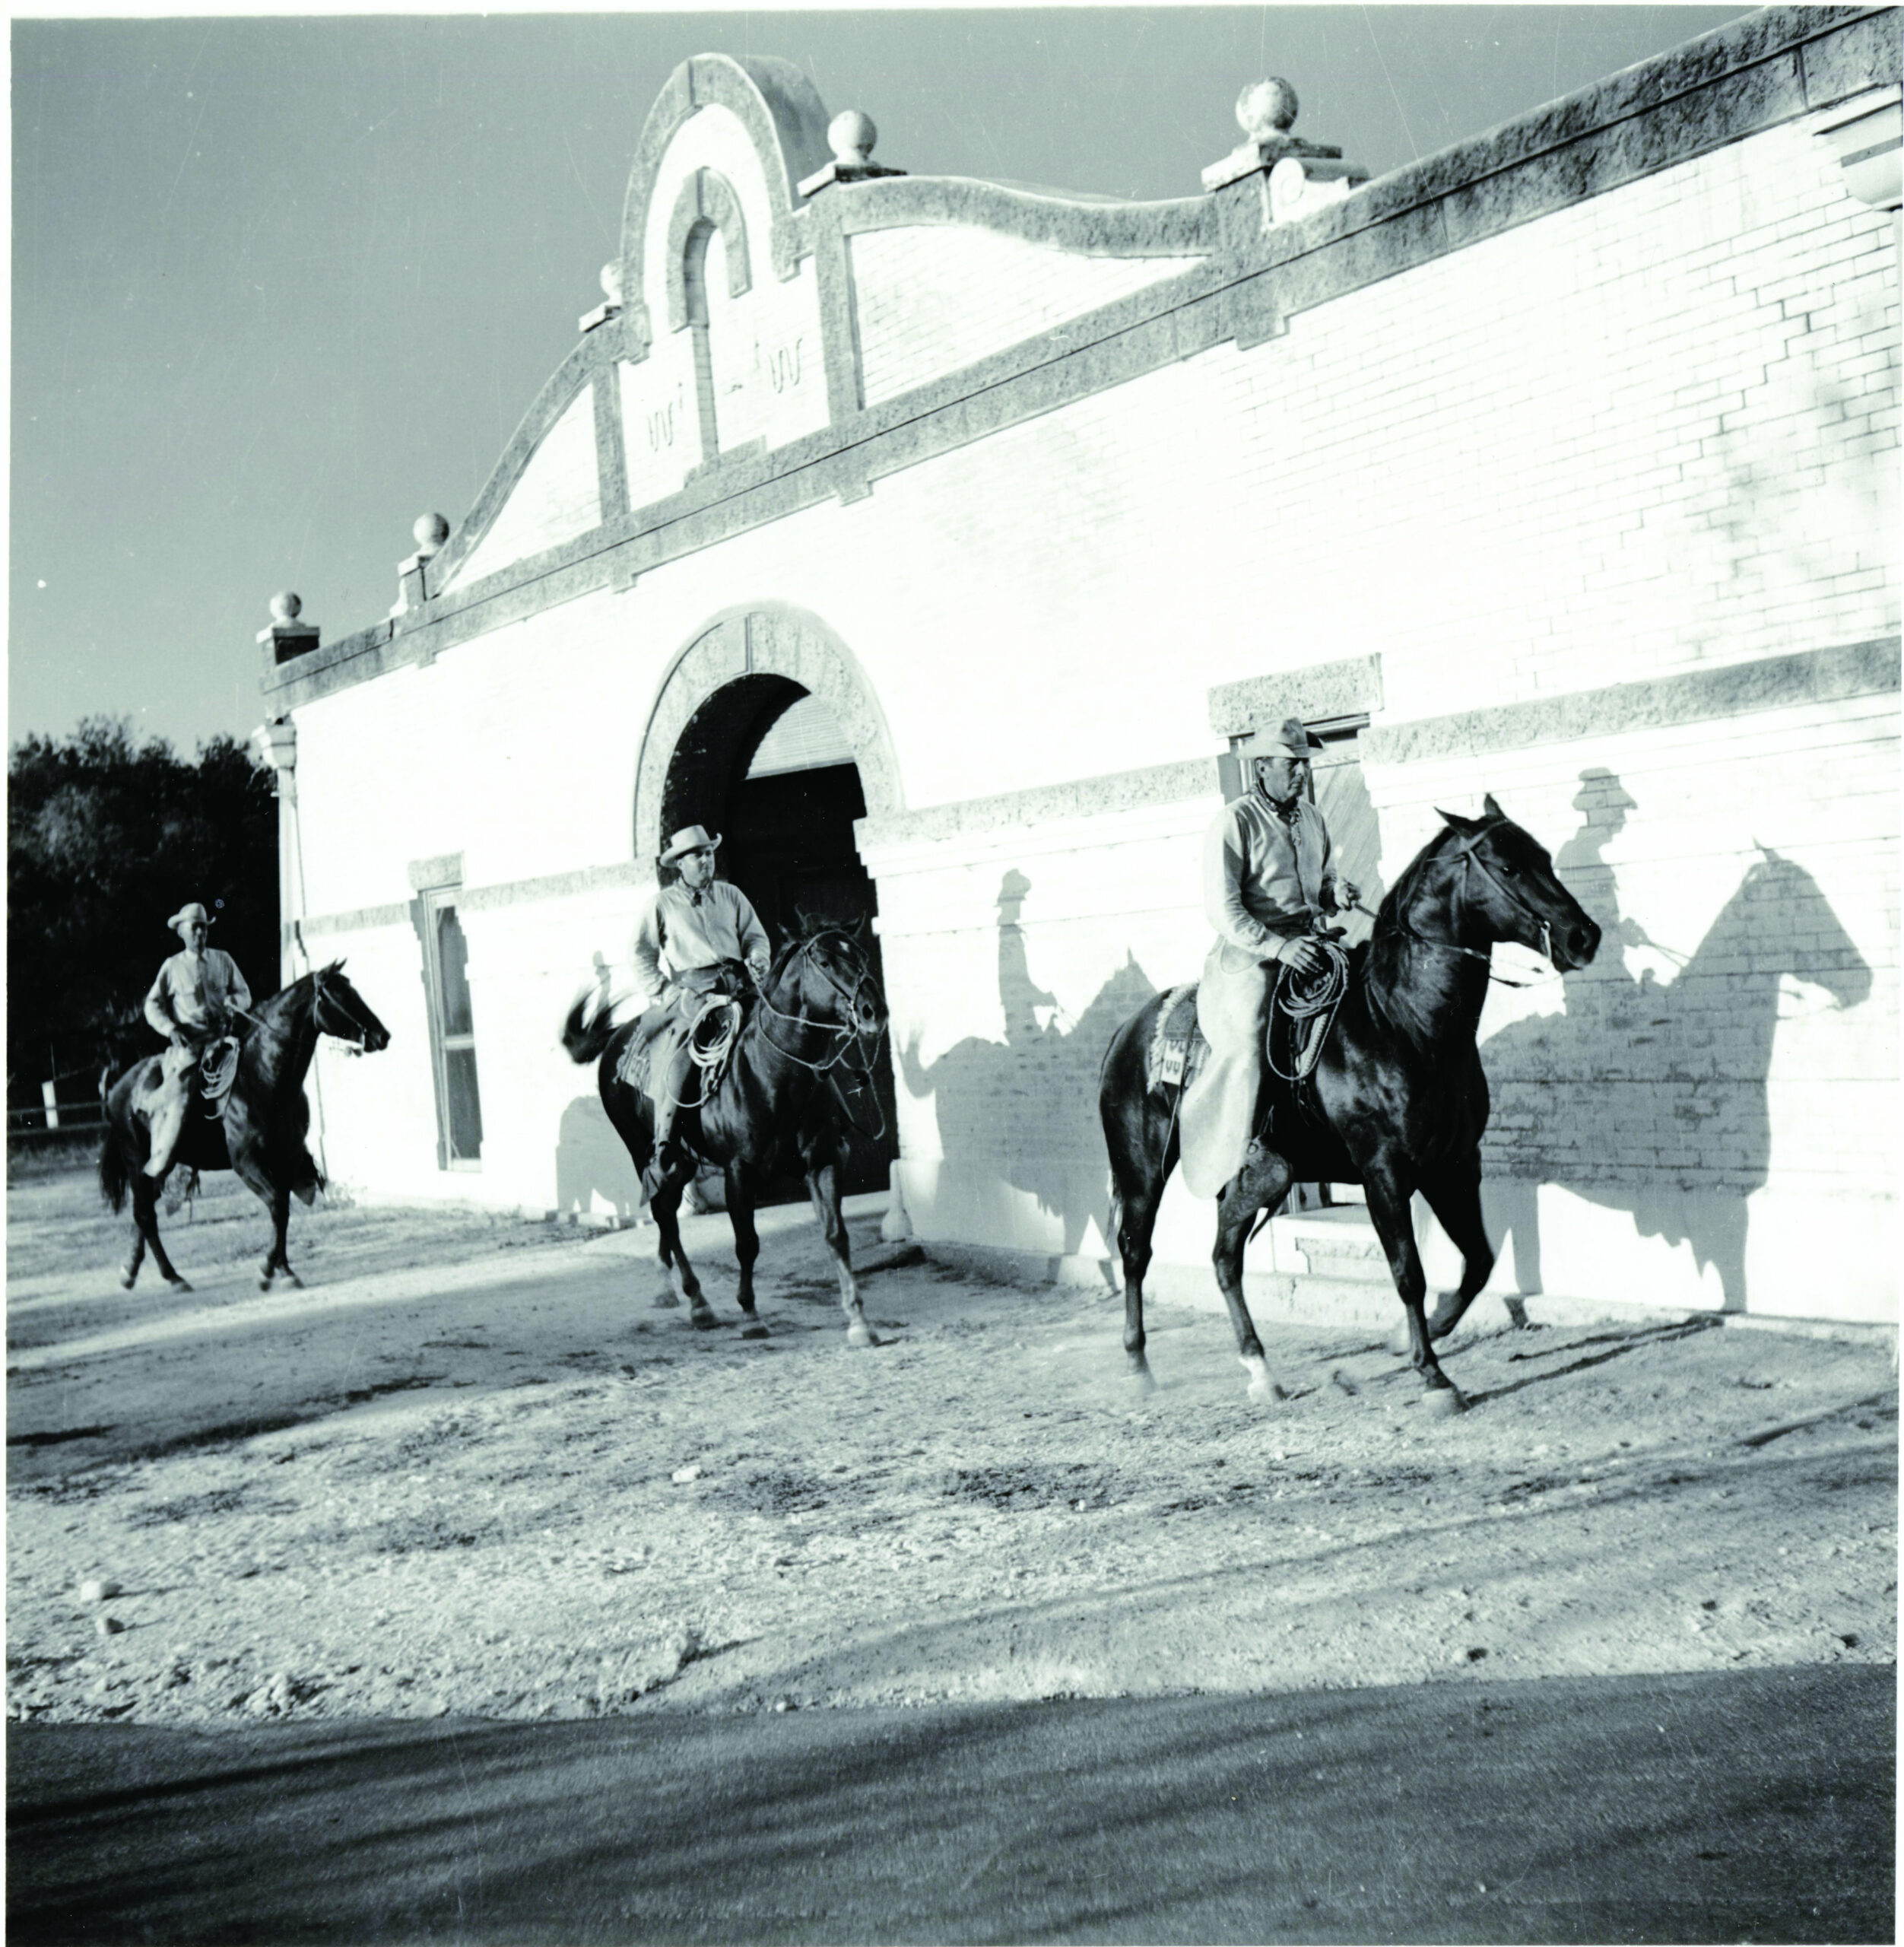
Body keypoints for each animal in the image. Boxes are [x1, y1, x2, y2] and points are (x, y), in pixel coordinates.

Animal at [98, 962, 391, 1294]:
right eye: (340, 996)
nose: (382, 1035)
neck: (262, 1078)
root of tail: (119, 1086)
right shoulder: (247, 1163)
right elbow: (277, 1207)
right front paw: (267, 1271)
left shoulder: (285, 1161)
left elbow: (283, 1211)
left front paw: (284, 1270)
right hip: (137, 1162)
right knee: (145, 1215)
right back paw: (172, 1277)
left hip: (157, 1170)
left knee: (142, 1214)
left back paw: (131, 1271)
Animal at [561, 927, 889, 1343]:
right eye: (826, 962)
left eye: (860, 954)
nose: (873, 1011)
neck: (772, 1072)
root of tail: (618, 1040)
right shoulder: (739, 1170)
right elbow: (746, 1243)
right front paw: (750, 1315)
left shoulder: (823, 1161)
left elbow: (836, 1235)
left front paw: (859, 1320)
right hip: (643, 1152)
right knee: (664, 1214)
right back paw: (697, 1302)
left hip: (683, 1164)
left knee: (667, 1211)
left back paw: (669, 1288)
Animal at [1098, 795, 1601, 1405]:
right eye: (1508, 867)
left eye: (1544, 857)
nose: (1583, 937)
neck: (1401, 1024)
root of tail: (1127, 1032)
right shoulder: (1383, 1170)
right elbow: (1408, 1272)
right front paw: (1432, 1376)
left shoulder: (1454, 1165)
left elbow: (1478, 1262)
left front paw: (1398, 1344)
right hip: (1142, 1171)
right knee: (1136, 1252)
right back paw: (1138, 1366)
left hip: (1252, 1179)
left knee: (1225, 1258)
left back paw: (1261, 1371)